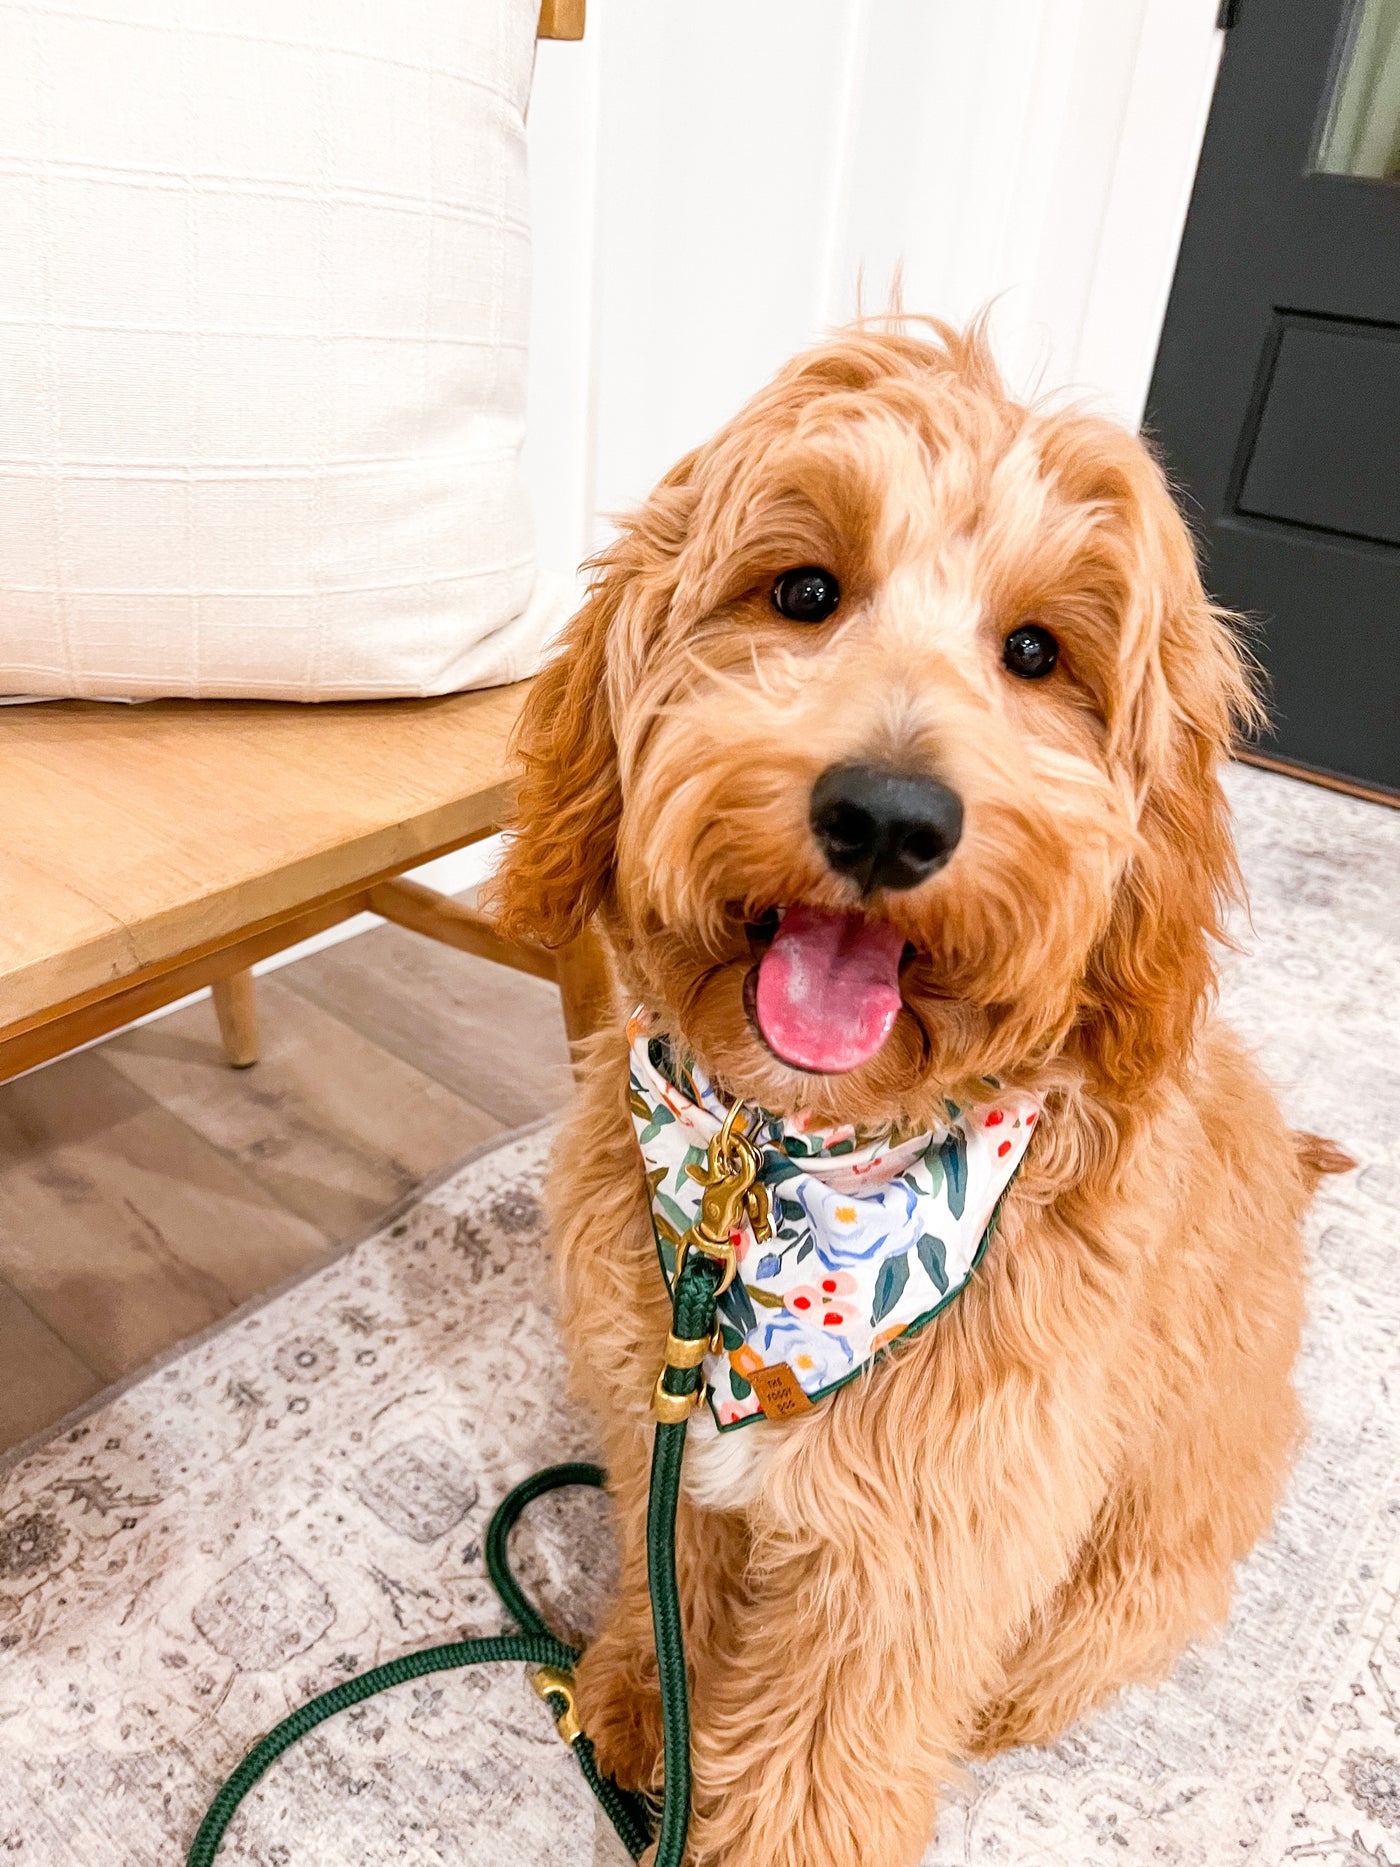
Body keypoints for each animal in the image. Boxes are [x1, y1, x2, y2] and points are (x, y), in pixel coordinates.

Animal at [489, 324, 1351, 1867]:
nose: (887, 817)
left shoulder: (922, 1539)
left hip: (1136, 1554)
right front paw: (644, 1699)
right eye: (804, 590)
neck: (781, 1175)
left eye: (1036, 653)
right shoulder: (663, 1422)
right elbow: (670, 1568)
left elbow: (820, 1760)